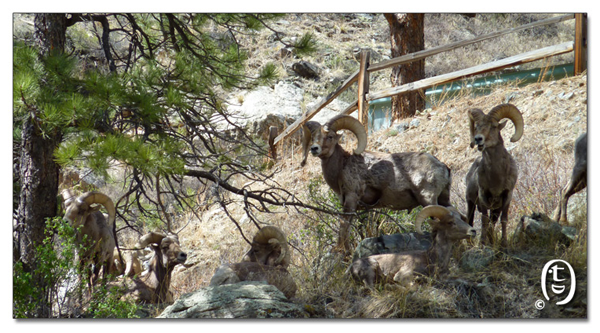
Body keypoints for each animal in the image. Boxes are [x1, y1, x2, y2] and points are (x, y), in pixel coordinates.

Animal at [300, 114, 450, 252]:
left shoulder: (351, 200)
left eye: (330, 136)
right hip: (443, 200)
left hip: (428, 200)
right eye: (313, 138)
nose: (314, 148)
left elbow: (344, 227)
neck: (342, 165)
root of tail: (443, 167)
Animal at [466, 104, 524, 246]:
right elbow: (484, 220)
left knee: (493, 222)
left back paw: (492, 241)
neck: (496, 177)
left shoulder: (507, 195)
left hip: (495, 208)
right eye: (476, 126)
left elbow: (503, 219)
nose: (478, 139)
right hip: (471, 203)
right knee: (470, 221)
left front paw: (504, 244)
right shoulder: (483, 195)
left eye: (493, 126)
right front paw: (482, 243)